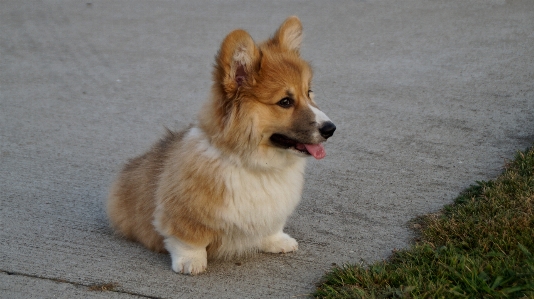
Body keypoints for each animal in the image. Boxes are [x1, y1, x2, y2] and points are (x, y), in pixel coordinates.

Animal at [107, 15, 338, 276]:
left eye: (309, 92)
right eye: (285, 102)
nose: (331, 129)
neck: (256, 166)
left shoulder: (273, 211)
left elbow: (271, 226)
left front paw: (277, 241)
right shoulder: (183, 212)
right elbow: (188, 239)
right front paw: (191, 261)